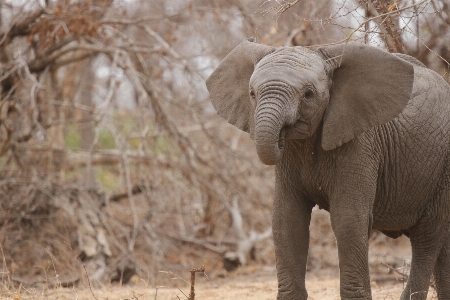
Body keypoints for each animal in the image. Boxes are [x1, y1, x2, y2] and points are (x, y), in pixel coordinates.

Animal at [207, 38, 450, 298]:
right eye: (252, 94)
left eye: (308, 94)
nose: (280, 136)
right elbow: (287, 220)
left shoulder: (361, 144)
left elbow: (348, 220)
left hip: (443, 170)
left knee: (427, 237)